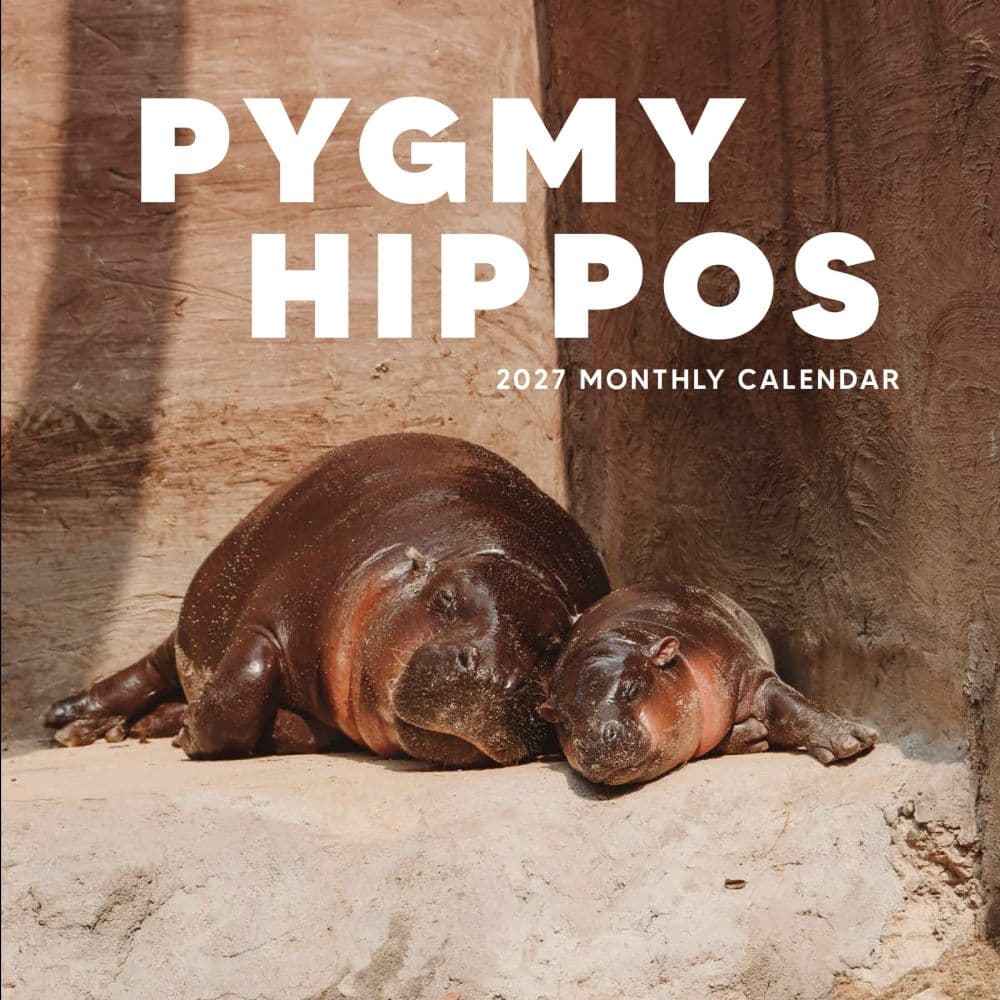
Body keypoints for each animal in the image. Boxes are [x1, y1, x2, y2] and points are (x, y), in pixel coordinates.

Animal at [45, 434, 610, 765]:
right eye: (446, 599)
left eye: (554, 645)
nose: (493, 675)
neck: (482, 548)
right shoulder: (273, 622)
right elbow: (239, 689)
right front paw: (187, 735)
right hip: (185, 627)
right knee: (148, 670)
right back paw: (69, 721)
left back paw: (121, 729)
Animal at [539, 582, 877, 785]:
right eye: (562, 721)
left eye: (632, 688)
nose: (593, 738)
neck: (624, 639)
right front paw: (756, 735)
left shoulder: (748, 672)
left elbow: (792, 706)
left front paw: (855, 740)